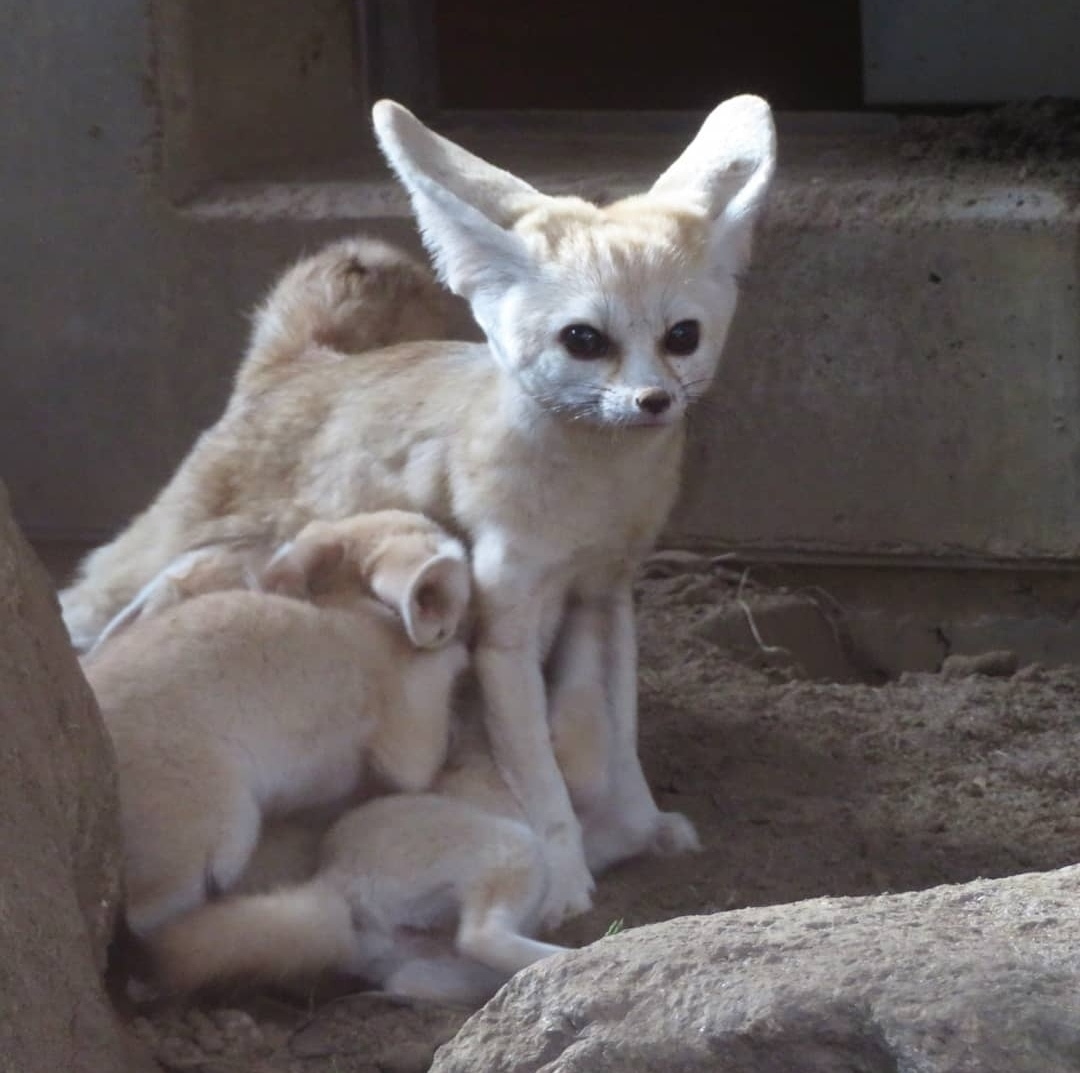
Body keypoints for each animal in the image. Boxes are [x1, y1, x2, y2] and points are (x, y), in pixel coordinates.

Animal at [59, 96, 777, 924]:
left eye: (681, 337)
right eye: (584, 340)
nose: (653, 400)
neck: (597, 488)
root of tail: (300, 365)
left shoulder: (607, 595)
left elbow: (620, 738)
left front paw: (646, 824)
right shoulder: (504, 630)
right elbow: (539, 777)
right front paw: (566, 878)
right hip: (153, 562)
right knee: (85, 606)